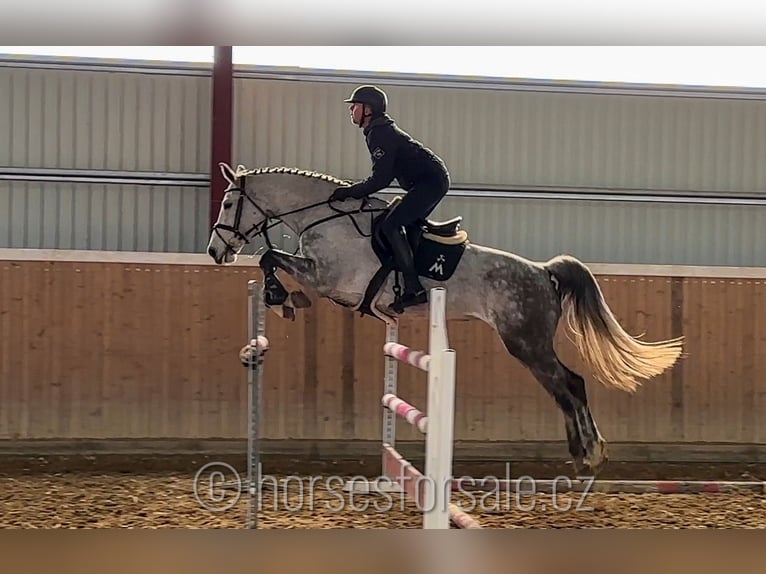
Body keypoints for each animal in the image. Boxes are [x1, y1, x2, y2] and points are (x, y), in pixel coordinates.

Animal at [207, 163, 688, 476]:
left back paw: (590, 452)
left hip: (526, 342)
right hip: (528, 345)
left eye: (229, 202)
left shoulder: (327, 279)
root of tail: (542, 271)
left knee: (571, 383)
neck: (326, 219)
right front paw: (282, 299)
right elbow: (271, 258)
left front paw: (280, 297)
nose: (215, 251)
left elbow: (271, 256)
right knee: (564, 388)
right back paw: (580, 452)